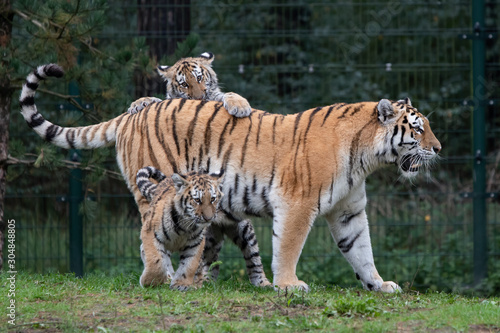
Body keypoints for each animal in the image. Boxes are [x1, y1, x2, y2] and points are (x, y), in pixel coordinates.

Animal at [20, 63, 442, 290]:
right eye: (418, 129)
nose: (438, 149)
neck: (366, 157)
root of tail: (132, 114)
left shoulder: (348, 211)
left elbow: (361, 250)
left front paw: (379, 285)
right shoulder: (297, 202)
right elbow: (289, 246)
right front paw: (289, 285)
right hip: (157, 187)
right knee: (150, 233)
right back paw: (164, 275)